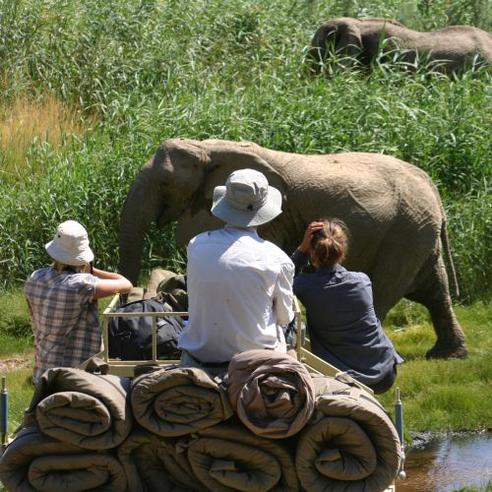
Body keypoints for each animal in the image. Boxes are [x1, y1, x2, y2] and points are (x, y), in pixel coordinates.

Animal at [121, 136, 468, 360]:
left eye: (165, 183)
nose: (129, 302)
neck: (206, 147)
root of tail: (432, 186)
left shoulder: (271, 214)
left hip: (406, 232)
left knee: (385, 290)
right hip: (418, 228)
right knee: (434, 290)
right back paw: (447, 355)